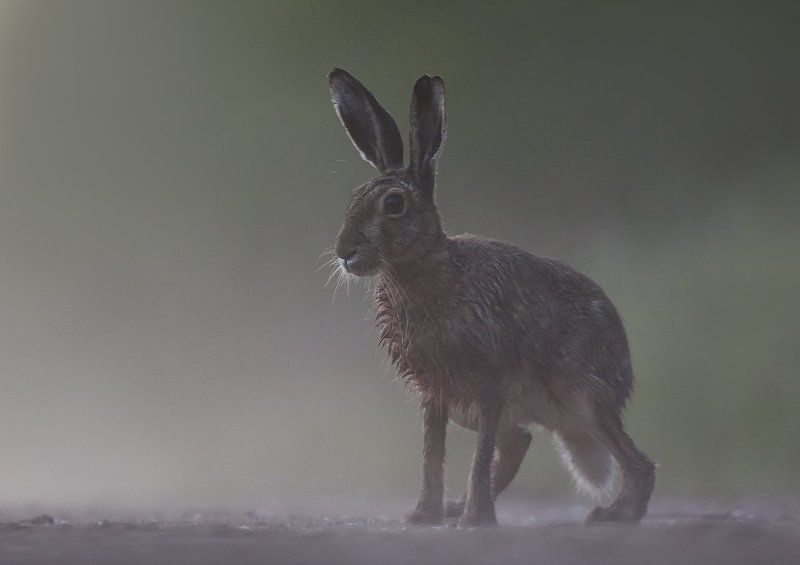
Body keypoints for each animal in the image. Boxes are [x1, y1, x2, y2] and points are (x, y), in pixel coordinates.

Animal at [327, 68, 655, 527]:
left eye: (394, 204)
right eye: (353, 199)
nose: (345, 252)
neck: (425, 269)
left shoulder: (488, 381)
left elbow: (475, 456)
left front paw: (474, 521)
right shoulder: (436, 394)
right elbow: (432, 455)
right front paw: (423, 515)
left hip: (583, 399)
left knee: (636, 462)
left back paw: (614, 514)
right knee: (518, 440)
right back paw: (456, 508)